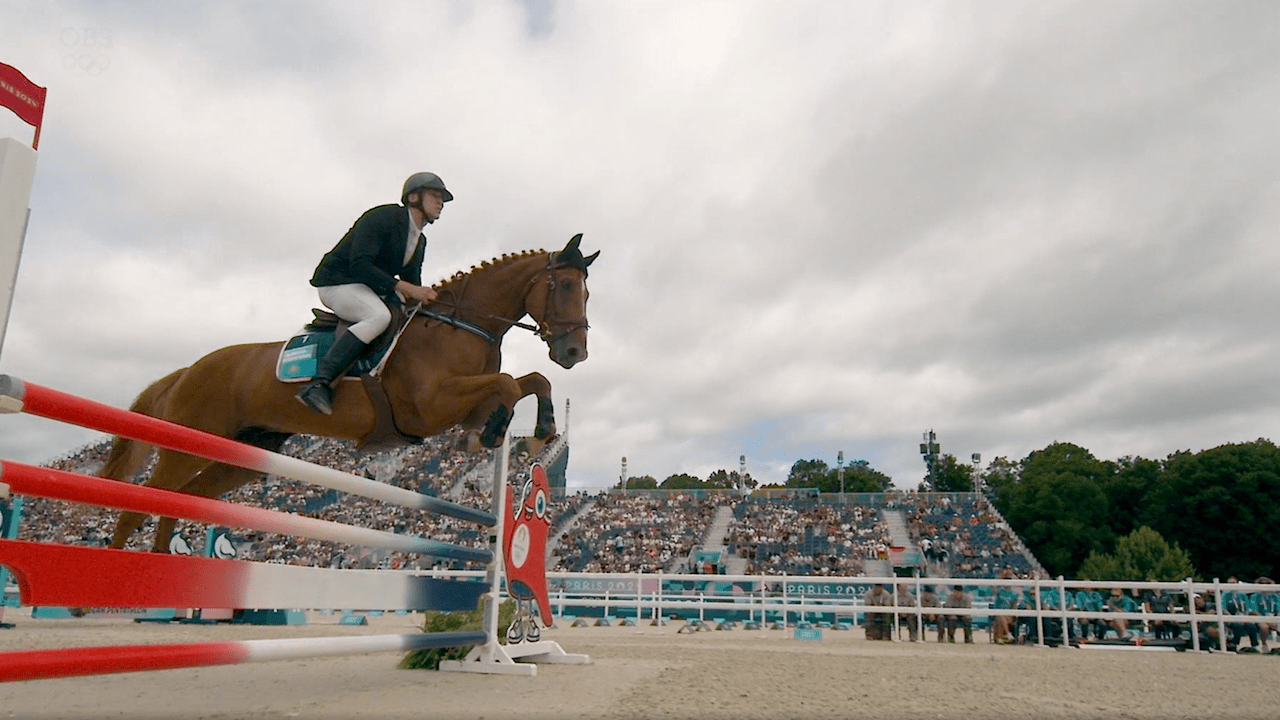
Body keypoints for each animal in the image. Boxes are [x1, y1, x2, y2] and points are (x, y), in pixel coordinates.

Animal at [101, 235, 599, 548]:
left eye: (587, 293)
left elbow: (530, 381)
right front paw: (497, 433)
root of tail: (188, 370)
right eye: (565, 285)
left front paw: (533, 430)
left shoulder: (461, 403)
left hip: (243, 454)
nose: (575, 352)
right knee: (141, 502)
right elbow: (507, 383)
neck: (461, 323)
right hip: (186, 445)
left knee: (183, 500)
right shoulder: (430, 407)